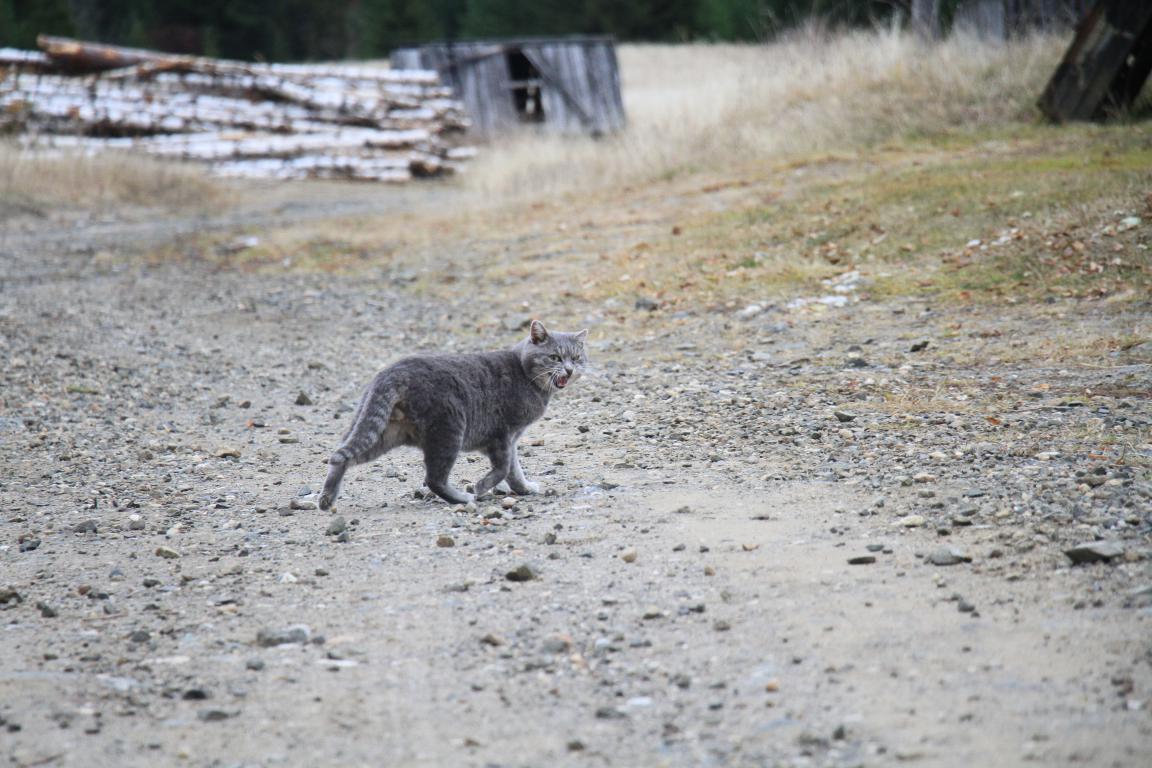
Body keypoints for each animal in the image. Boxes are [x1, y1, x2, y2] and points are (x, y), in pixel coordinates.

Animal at [317, 320, 589, 511]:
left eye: (577, 358)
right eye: (555, 357)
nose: (569, 369)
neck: (525, 374)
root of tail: (391, 372)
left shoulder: (512, 439)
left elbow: (514, 470)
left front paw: (524, 489)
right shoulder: (503, 434)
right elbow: (504, 467)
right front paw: (481, 486)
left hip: (383, 434)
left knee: (341, 456)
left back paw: (327, 498)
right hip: (448, 430)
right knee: (433, 478)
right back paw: (463, 497)